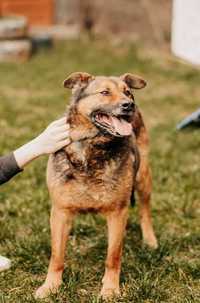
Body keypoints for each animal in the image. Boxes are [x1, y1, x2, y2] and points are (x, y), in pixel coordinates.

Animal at [35, 73, 158, 300]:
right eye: (104, 92)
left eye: (128, 92)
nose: (129, 105)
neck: (91, 147)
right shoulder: (60, 211)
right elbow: (57, 255)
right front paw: (51, 286)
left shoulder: (118, 212)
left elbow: (113, 256)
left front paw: (110, 289)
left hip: (143, 177)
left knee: (145, 210)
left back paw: (150, 240)